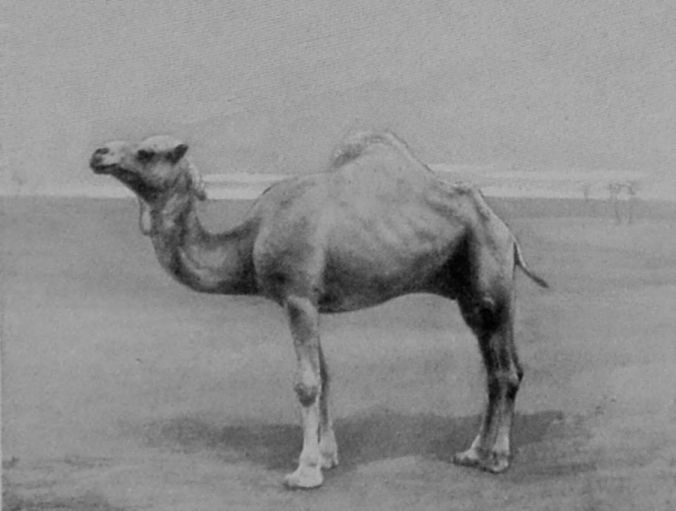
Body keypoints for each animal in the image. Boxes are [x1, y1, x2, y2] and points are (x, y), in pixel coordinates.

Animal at [90, 131, 548, 489]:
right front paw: (327, 457)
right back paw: (472, 453)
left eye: (148, 151)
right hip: (470, 294)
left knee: (505, 371)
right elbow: (326, 376)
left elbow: (307, 383)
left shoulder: (298, 297)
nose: (98, 154)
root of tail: (506, 230)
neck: (248, 241)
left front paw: (305, 471)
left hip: (489, 278)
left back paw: (496, 459)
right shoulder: (311, 302)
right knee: (497, 371)